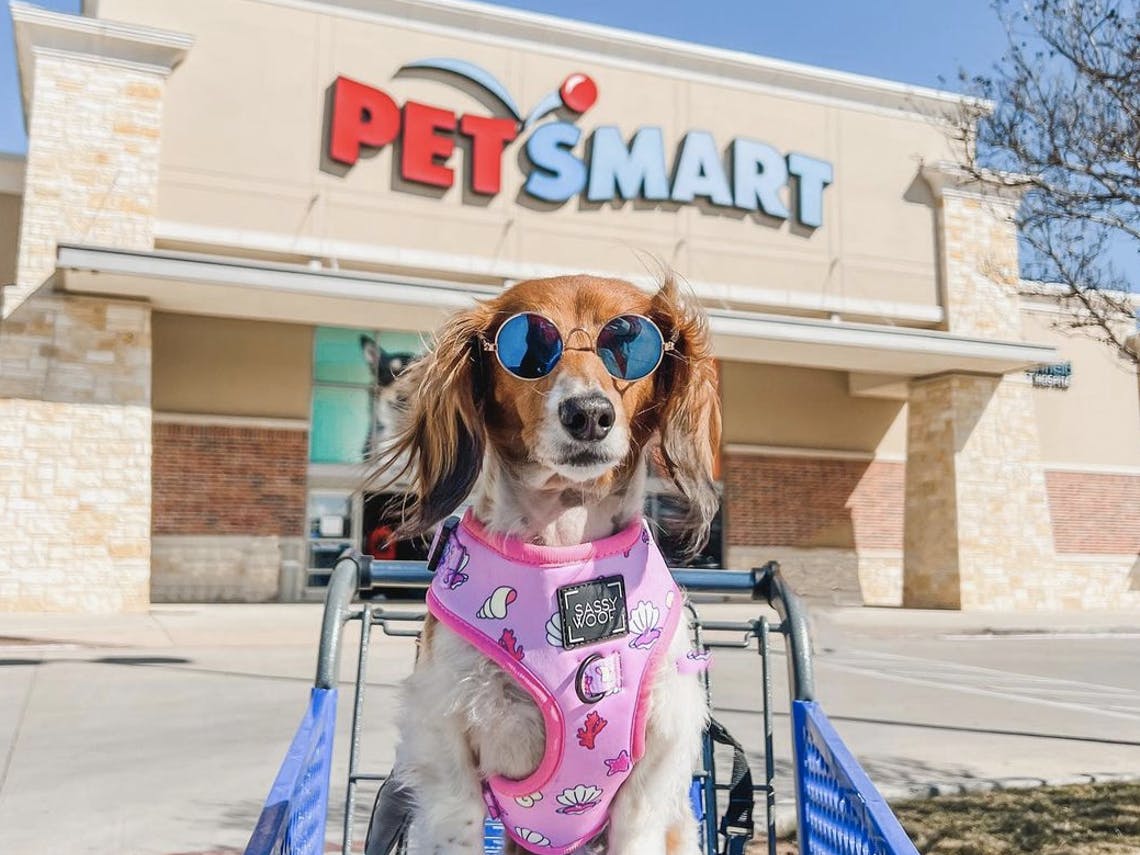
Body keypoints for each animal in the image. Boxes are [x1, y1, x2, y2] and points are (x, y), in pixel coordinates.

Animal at [371, 275, 720, 855]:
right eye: (530, 348)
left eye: (629, 343)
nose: (589, 414)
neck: (563, 551)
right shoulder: (447, 754)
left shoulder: (655, 764)